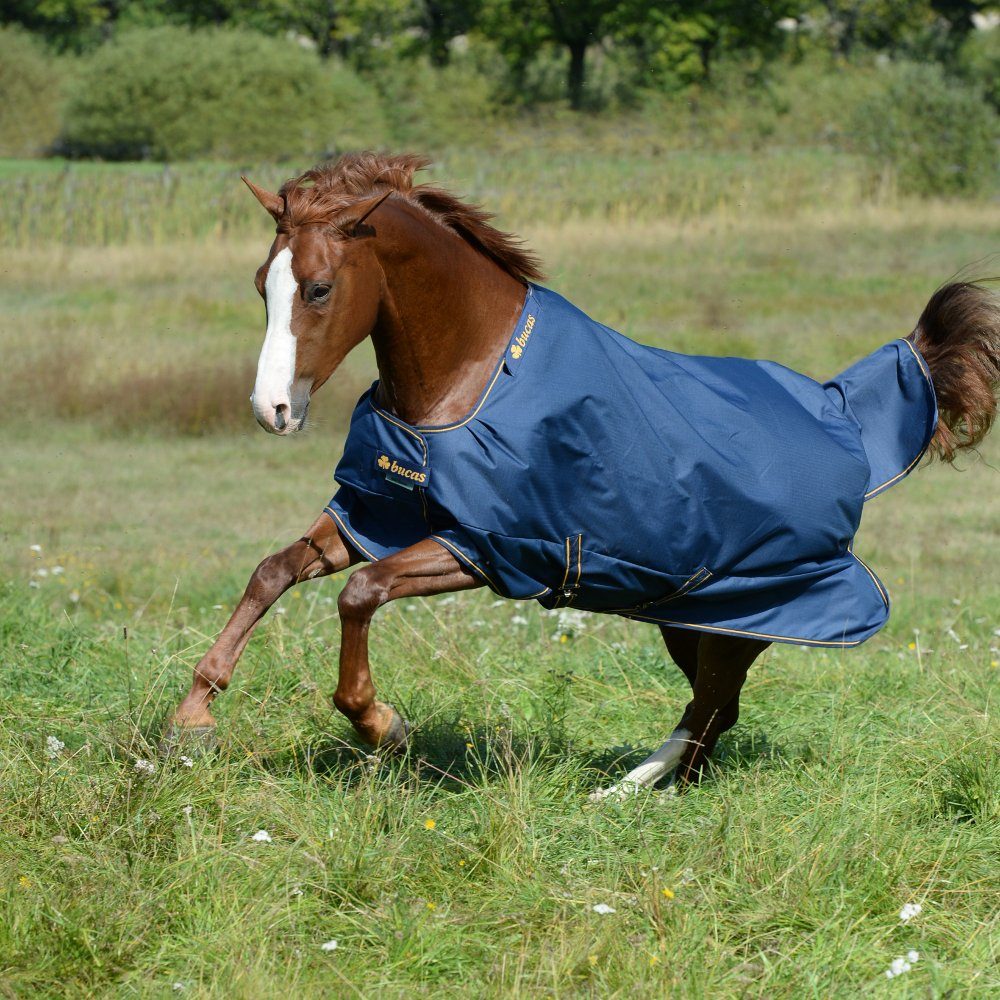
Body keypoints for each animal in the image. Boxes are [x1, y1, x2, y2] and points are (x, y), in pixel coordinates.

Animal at [165, 153, 1000, 798]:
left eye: (319, 288)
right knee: (716, 709)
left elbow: (359, 593)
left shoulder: (493, 548)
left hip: (751, 605)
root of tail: (845, 419)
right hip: (692, 614)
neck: (470, 377)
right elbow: (274, 571)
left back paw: (622, 789)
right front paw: (192, 716)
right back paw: (661, 786)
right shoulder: (379, 515)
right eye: (260, 284)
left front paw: (380, 723)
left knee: (712, 706)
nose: (272, 409)